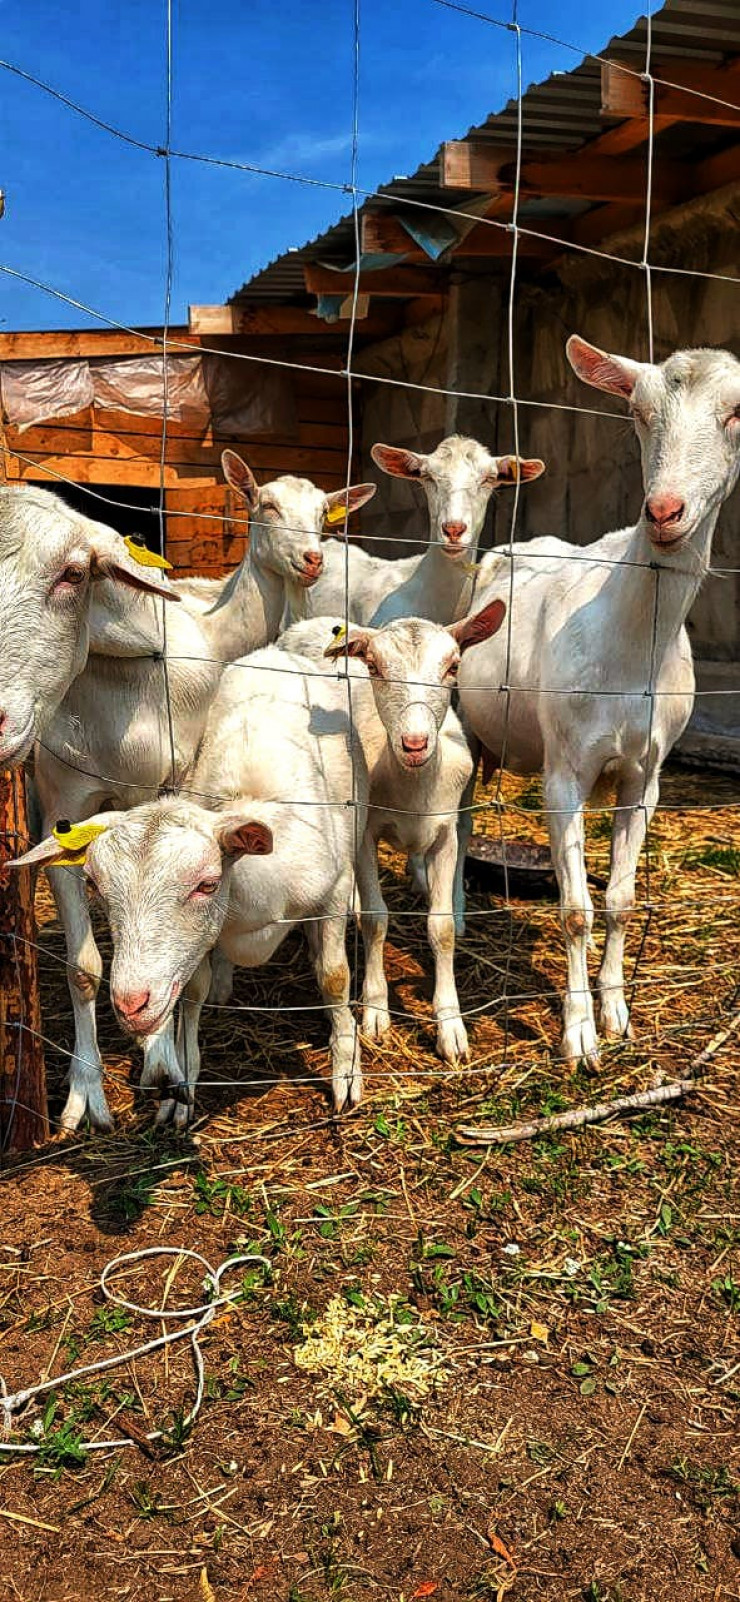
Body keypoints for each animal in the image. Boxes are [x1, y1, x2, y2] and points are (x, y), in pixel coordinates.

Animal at [12, 645, 369, 1125]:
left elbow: (333, 976)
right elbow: (192, 992)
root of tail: (274, 651)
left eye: (206, 884)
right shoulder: (199, 944)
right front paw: (180, 1088)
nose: (130, 1003)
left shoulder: (331, 891)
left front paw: (346, 1067)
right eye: (96, 887)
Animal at [279, 598, 507, 1063]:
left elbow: (440, 928)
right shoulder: (364, 832)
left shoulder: (445, 835)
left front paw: (451, 1027)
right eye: (374, 666)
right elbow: (376, 919)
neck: (412, 784)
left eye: (454, 666)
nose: (414, 743)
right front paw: (376, 1011)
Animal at [455, 335, 740, 1067]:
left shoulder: (646, 774)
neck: (631, 644)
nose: (664, 512)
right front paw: (579, 1036)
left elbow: (619, 900)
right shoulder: (565, 771)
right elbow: (576, 908)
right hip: (460, 722)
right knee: (457, 816)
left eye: (736, 414)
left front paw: (616, 1013)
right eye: (638, 412)